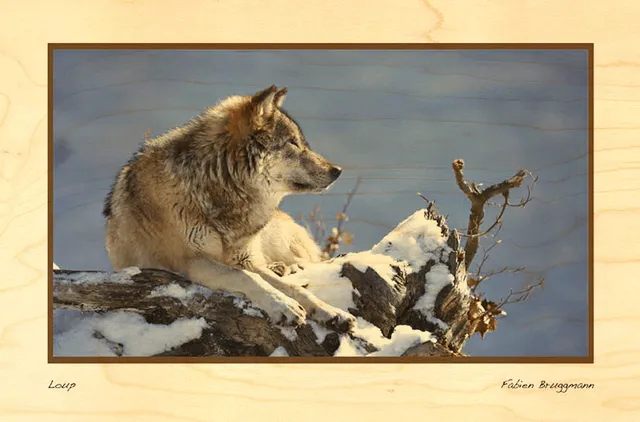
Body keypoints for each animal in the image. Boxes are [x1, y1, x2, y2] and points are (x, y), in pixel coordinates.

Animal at [103, 85, 355, 332]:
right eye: (292, 142)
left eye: (301, 141)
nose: (337, 170)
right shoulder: (193, 262)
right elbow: (246, 277)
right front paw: (284, 306)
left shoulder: (245, 259)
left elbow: (294, 288)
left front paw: (331, 312)